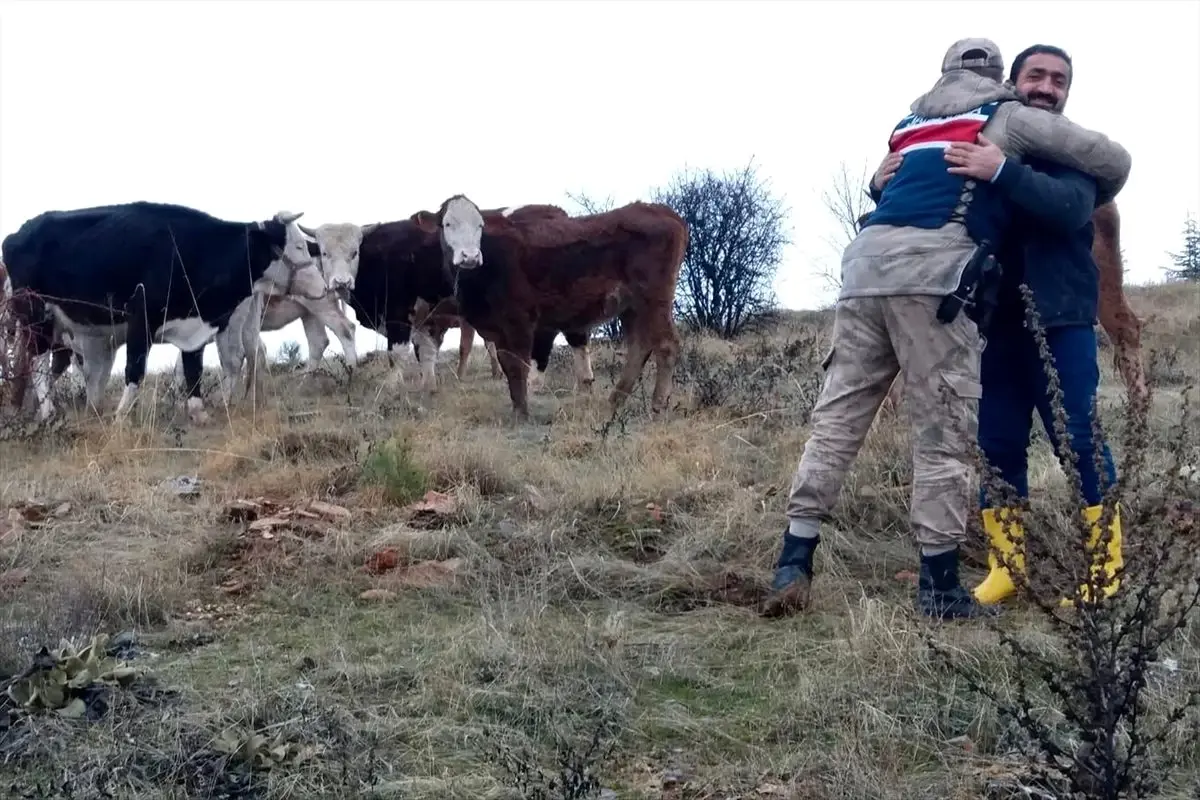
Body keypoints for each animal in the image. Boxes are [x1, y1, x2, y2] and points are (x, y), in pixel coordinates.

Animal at [2, 203, 326, 422]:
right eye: (299, 246)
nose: (323, 287)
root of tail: (16, 234)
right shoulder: (141, 316)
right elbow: (135, 368)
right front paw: (121, 415)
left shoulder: (195, 325)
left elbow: (194, 368)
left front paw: (198, 412)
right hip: (36, 316)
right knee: (38, 363)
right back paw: (48, 411)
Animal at [417, 195, 691, 419]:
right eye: (447, 224)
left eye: (480, 226)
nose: (470, 256)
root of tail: (662, 211)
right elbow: (507, 364)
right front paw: (518, 409)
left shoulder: (519, 320)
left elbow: (518, 366)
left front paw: (522, 412)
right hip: (632, 307)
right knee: (639, 347)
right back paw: (615, 401)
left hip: (654, 300)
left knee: (666, 345)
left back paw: (657, 405)